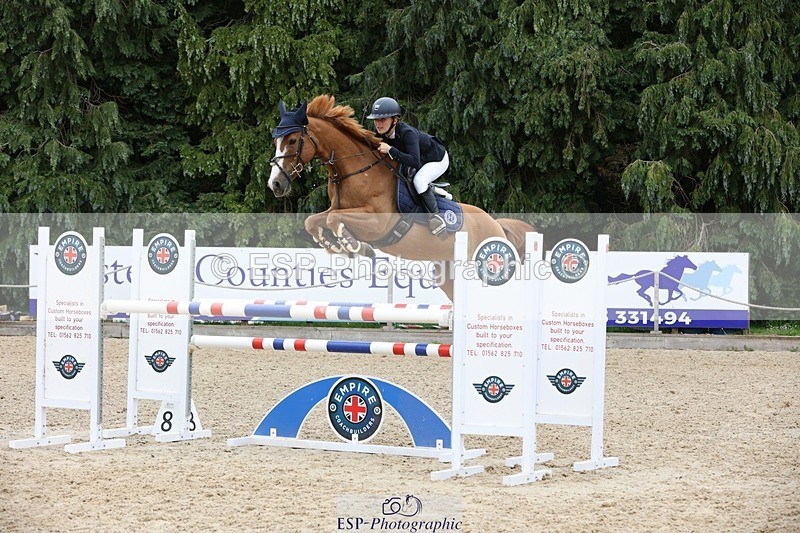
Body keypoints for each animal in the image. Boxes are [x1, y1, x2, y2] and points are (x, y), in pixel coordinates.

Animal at [266, 95, 535, 300]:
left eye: (292, 140)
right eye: (276, 140)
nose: (275, 184)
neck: (355, 171)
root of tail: (497, 225)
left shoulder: (377, 222)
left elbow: (334, 220)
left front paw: (357, 247)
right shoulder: (339, 209)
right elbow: (314, 221)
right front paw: (337, 246)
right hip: (446, 273)